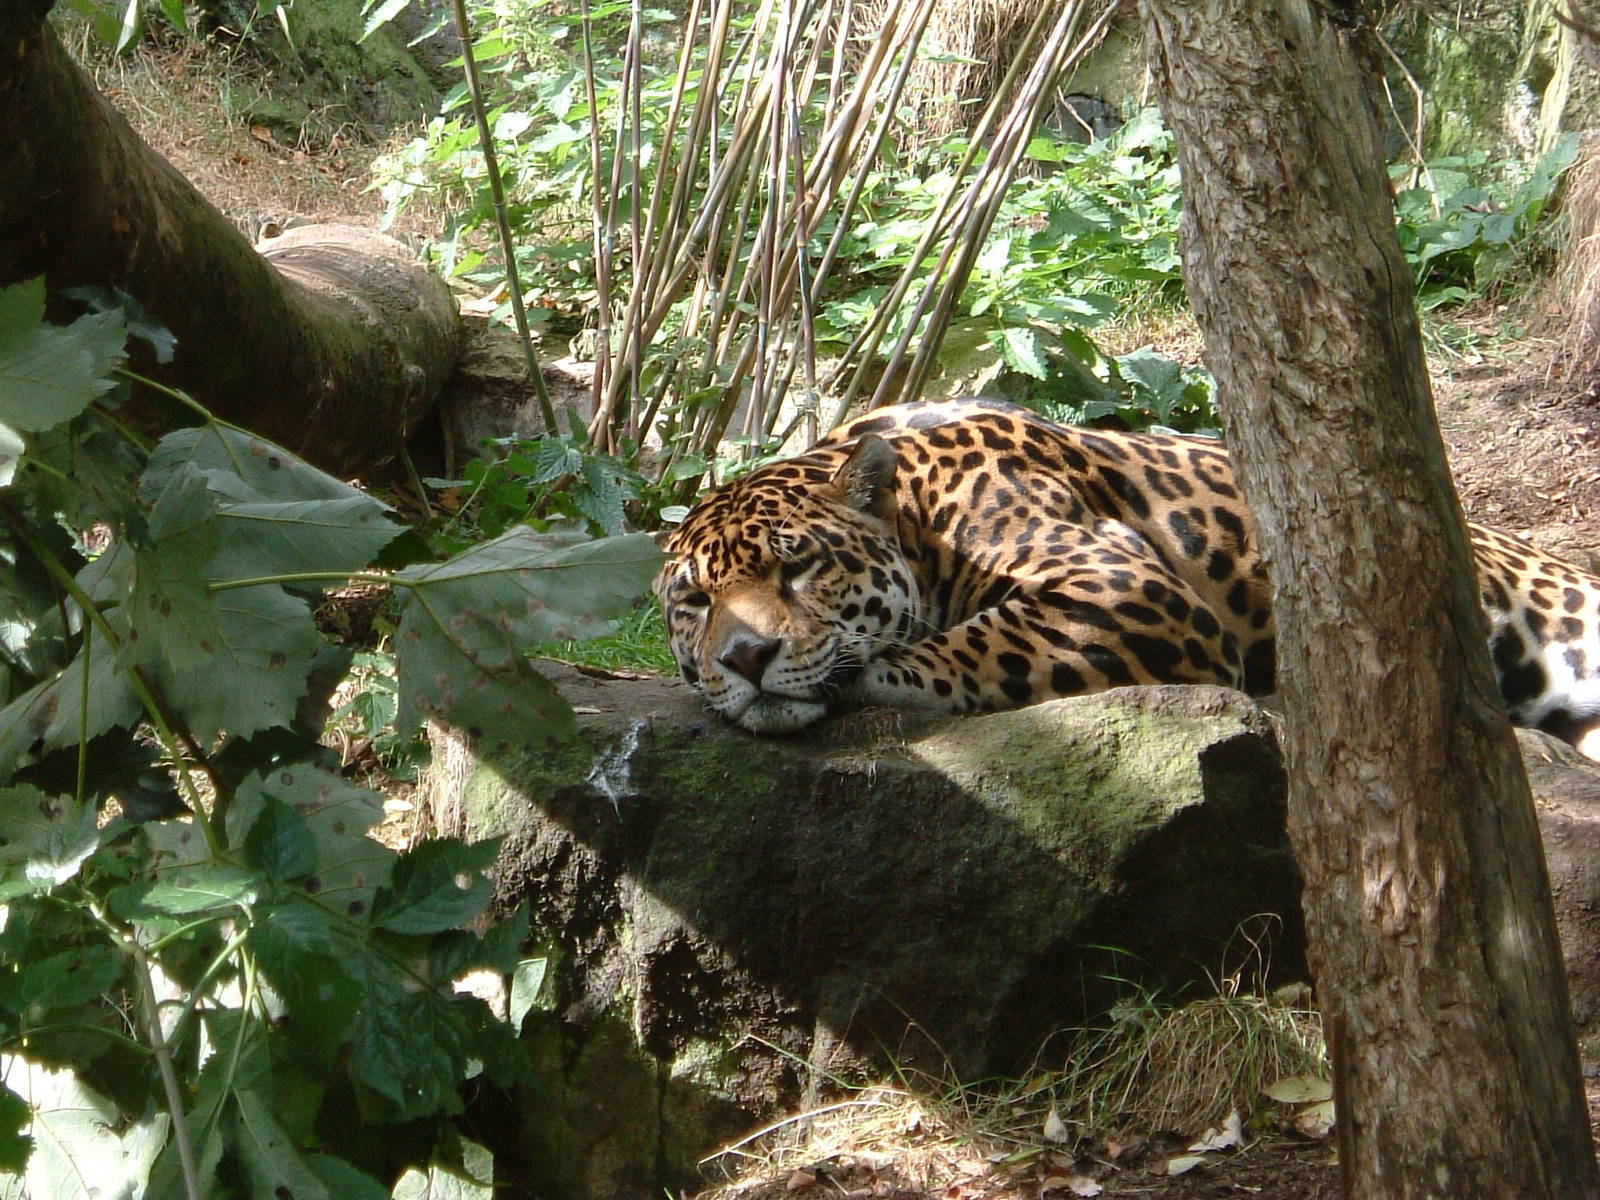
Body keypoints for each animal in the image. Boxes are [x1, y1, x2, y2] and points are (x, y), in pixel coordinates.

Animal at [654, 396, 1600, 757]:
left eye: (798, 565)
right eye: (695, 601)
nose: (745, 658)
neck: (922, 515)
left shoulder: (1128, 587)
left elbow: (968, 644)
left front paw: (866, 676)